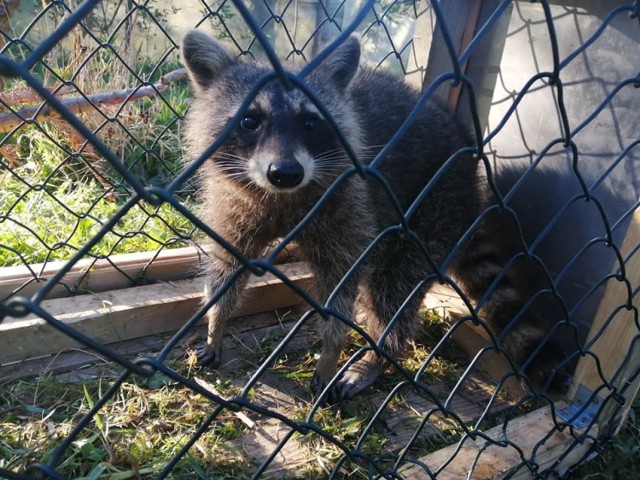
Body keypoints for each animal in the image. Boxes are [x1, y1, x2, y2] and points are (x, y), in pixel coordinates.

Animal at [180, 31, 568, 402]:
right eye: (249, 121)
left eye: (310, 123)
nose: (285, 172)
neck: (282, 197)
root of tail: (472, 177)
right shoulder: (235, 203)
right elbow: (229, 263)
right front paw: (216, 321)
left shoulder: (352, 204)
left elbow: (342, 287)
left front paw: (331, 349)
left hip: (438, 204)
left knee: (394, 286)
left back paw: (380, 353)